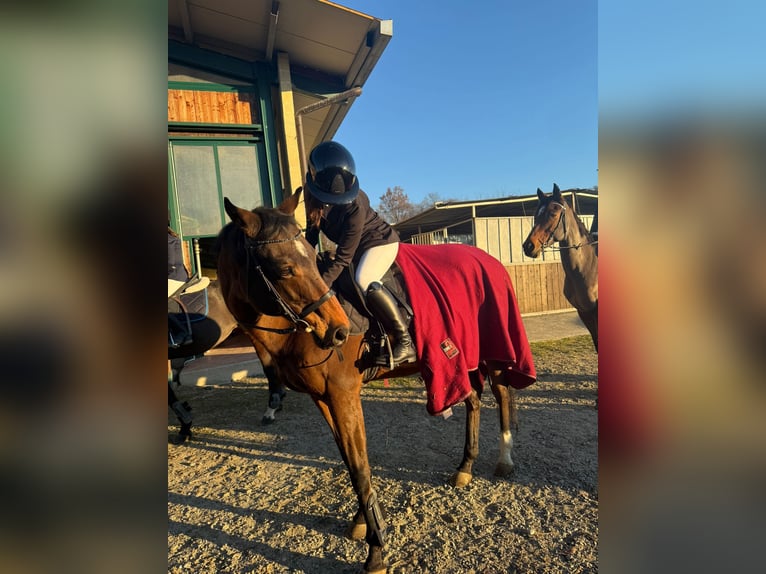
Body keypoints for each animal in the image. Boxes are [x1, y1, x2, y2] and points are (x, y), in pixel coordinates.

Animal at [216, 189, 536, 574]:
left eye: (308, 256)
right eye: (283, 268)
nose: (339, 331)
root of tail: (487, 258)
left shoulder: (343, 395)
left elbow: (359, 467)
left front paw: (376, 549)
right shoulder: (324, 398)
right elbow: (352, 462)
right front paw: (363, 522)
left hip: (491, 351)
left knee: (502, 396)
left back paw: (504, 460)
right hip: (463, 356)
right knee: (473, 399)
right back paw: (465, 468)